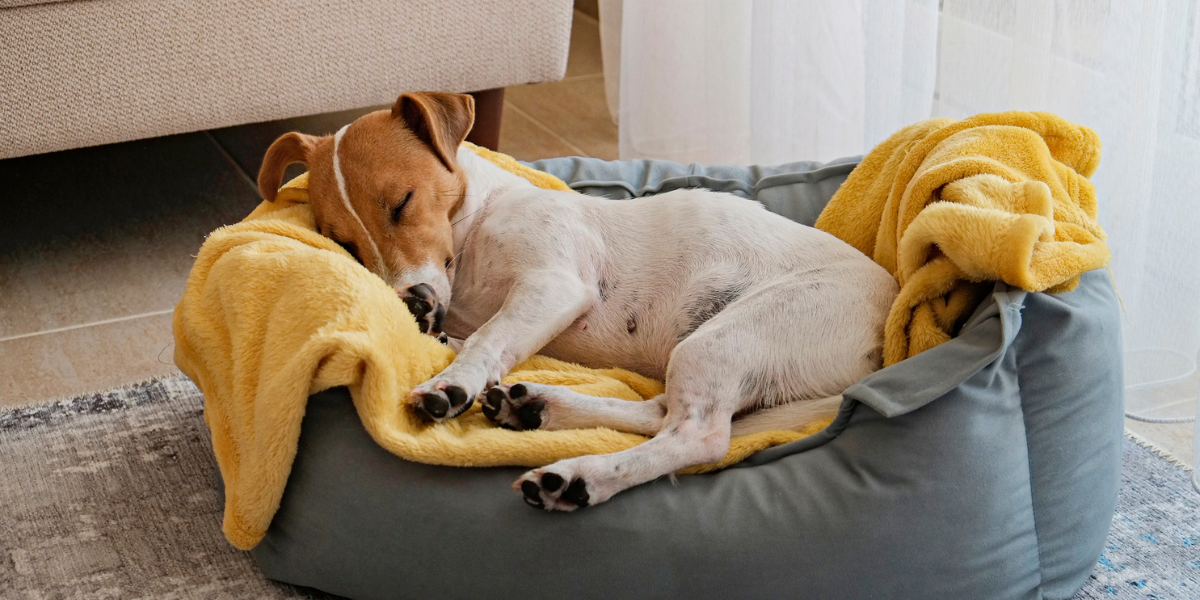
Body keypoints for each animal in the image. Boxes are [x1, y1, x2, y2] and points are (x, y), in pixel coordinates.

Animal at [262, 91, 902, 508]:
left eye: (402, 202)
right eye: (344, 243)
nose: (413, 303)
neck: (475, 229)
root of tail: (884, 345)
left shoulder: (553, 285)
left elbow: (488, 340)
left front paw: (452, 384)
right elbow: (473, 338)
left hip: (728, 337)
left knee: (697, 436)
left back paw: (578, 476)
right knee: (659, 412)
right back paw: (537, 406)